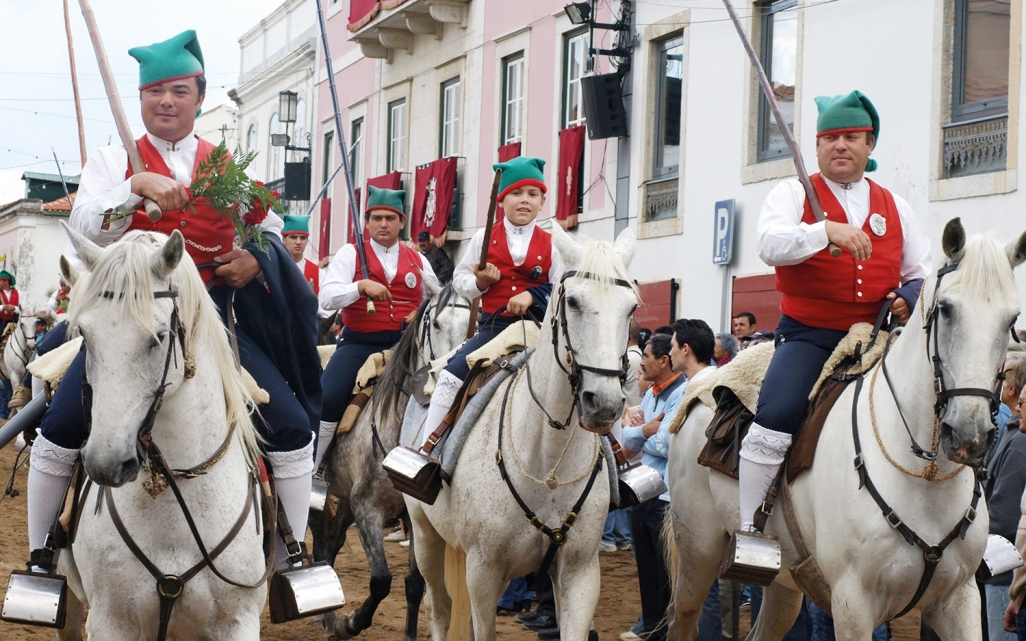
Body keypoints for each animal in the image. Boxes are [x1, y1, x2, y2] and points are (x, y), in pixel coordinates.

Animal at [311, 278, 471, 639]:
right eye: (435, 324)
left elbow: (414, 583)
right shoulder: (368, 509)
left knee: (334, 541)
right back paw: (327, 615)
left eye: (473, 323)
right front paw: (351, 622)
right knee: (321, 542)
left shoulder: (415, 518)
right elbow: (382, 580)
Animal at [406, 221, 632, 639]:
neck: (548, 461)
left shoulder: (579, 575)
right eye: (573, 302)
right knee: (439, 609)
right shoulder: (483, 572)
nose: (604, 404)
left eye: (632, 307)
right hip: (426, 535)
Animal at [664, 217, 1026, 635]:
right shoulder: (852, 604)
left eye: (1011, 320)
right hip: (699, 552)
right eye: (947, 309)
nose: (970, 435)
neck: (926, 478)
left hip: (785, 580)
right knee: (682, 619)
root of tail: (701, 385)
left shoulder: (959, 598)